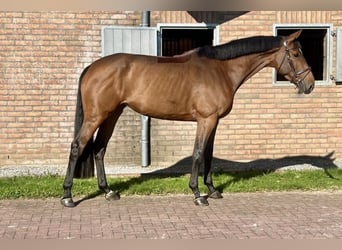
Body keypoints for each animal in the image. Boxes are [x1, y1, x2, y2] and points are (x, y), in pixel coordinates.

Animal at [62, 29, 316, 207]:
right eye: (295, 54)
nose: (310, 85)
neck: (221, 70)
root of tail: (92, 67)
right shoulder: (206, 119)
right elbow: (197, 154)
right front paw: (197, 194)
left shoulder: (215, 121)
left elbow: (208, 156)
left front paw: (212, 190)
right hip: (96, 116)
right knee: (77, 146)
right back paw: (68, 196)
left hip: (112, 114)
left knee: (99, 149)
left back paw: (108, 192)